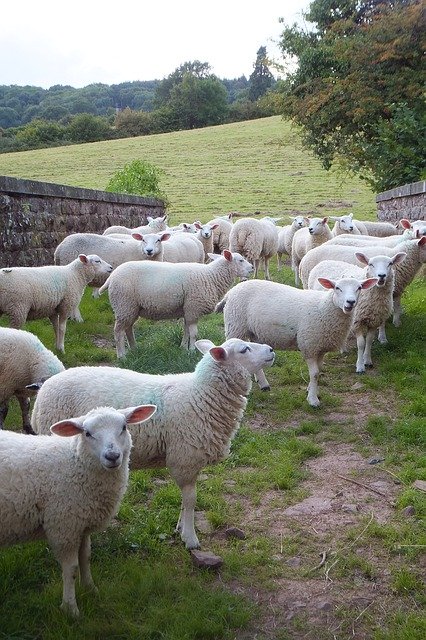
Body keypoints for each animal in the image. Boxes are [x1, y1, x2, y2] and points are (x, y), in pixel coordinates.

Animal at [0, 402, 156, 616]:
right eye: (87, 433)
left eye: (124, 427)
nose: (112, 456)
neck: (75, 462)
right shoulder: (64, 526)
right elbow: (71, 568)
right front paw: (70, 608)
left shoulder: (82, 524)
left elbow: (85, 557)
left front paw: (90, 588)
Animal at [30, 338, 276, 552]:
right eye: (244, 349)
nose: (272, 350)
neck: (200, 395)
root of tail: (42, 393)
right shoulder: (184, 458)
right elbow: (191, 499)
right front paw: (190, 538)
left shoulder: (191, 461)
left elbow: (186, 499)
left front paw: (180, 527)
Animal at [98, 249, 255, 358]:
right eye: (240, 260)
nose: (252, 268)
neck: (211, 277)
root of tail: (112, 277)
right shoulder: (193, 307)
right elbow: (194, 333)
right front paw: (192, 351)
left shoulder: (187, 310)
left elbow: (186, 331)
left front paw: (183, 348)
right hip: (124, 304)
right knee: (118, 331)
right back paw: (122, 356)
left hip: (131, 308)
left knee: (128, 328)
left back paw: (134, 348)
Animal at [216, 278, 376, 408]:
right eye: (337, 288)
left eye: (359, 288)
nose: (351, 302)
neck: (324, 307)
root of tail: (231, 291)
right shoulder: (309, 344)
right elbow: (315, 373)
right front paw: (313, 400)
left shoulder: (321, 346)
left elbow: (319, 370)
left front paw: (312, 390)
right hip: (236, 326)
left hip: (255, 332)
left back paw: (263, 383)